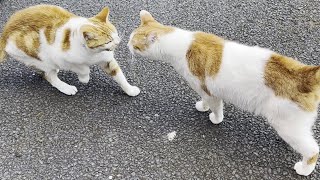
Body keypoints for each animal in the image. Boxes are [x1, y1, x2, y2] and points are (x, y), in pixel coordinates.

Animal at [0, 4, 140, 96]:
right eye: (108, 41)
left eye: (115, 34)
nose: (118, 42)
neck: (93, 53)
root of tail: (5, 33)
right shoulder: (61, 58)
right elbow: (83, 68)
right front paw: (84, 78)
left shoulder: (107, 59)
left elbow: (119, 76)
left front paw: (130, 90)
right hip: (39, 56)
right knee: (49, 75)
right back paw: (66, 87)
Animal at [128, 9, 320, 176]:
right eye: (130, 39)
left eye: (134, 45)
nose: (127, 45)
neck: (182, 44)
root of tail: (306, 73)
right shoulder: (203, 89)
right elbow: (204, 100)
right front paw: (202, 106)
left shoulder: (209, 91)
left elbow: (216, 108)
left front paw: (215, 118)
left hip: (286, 124)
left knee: (313, 150)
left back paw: (304, 168)